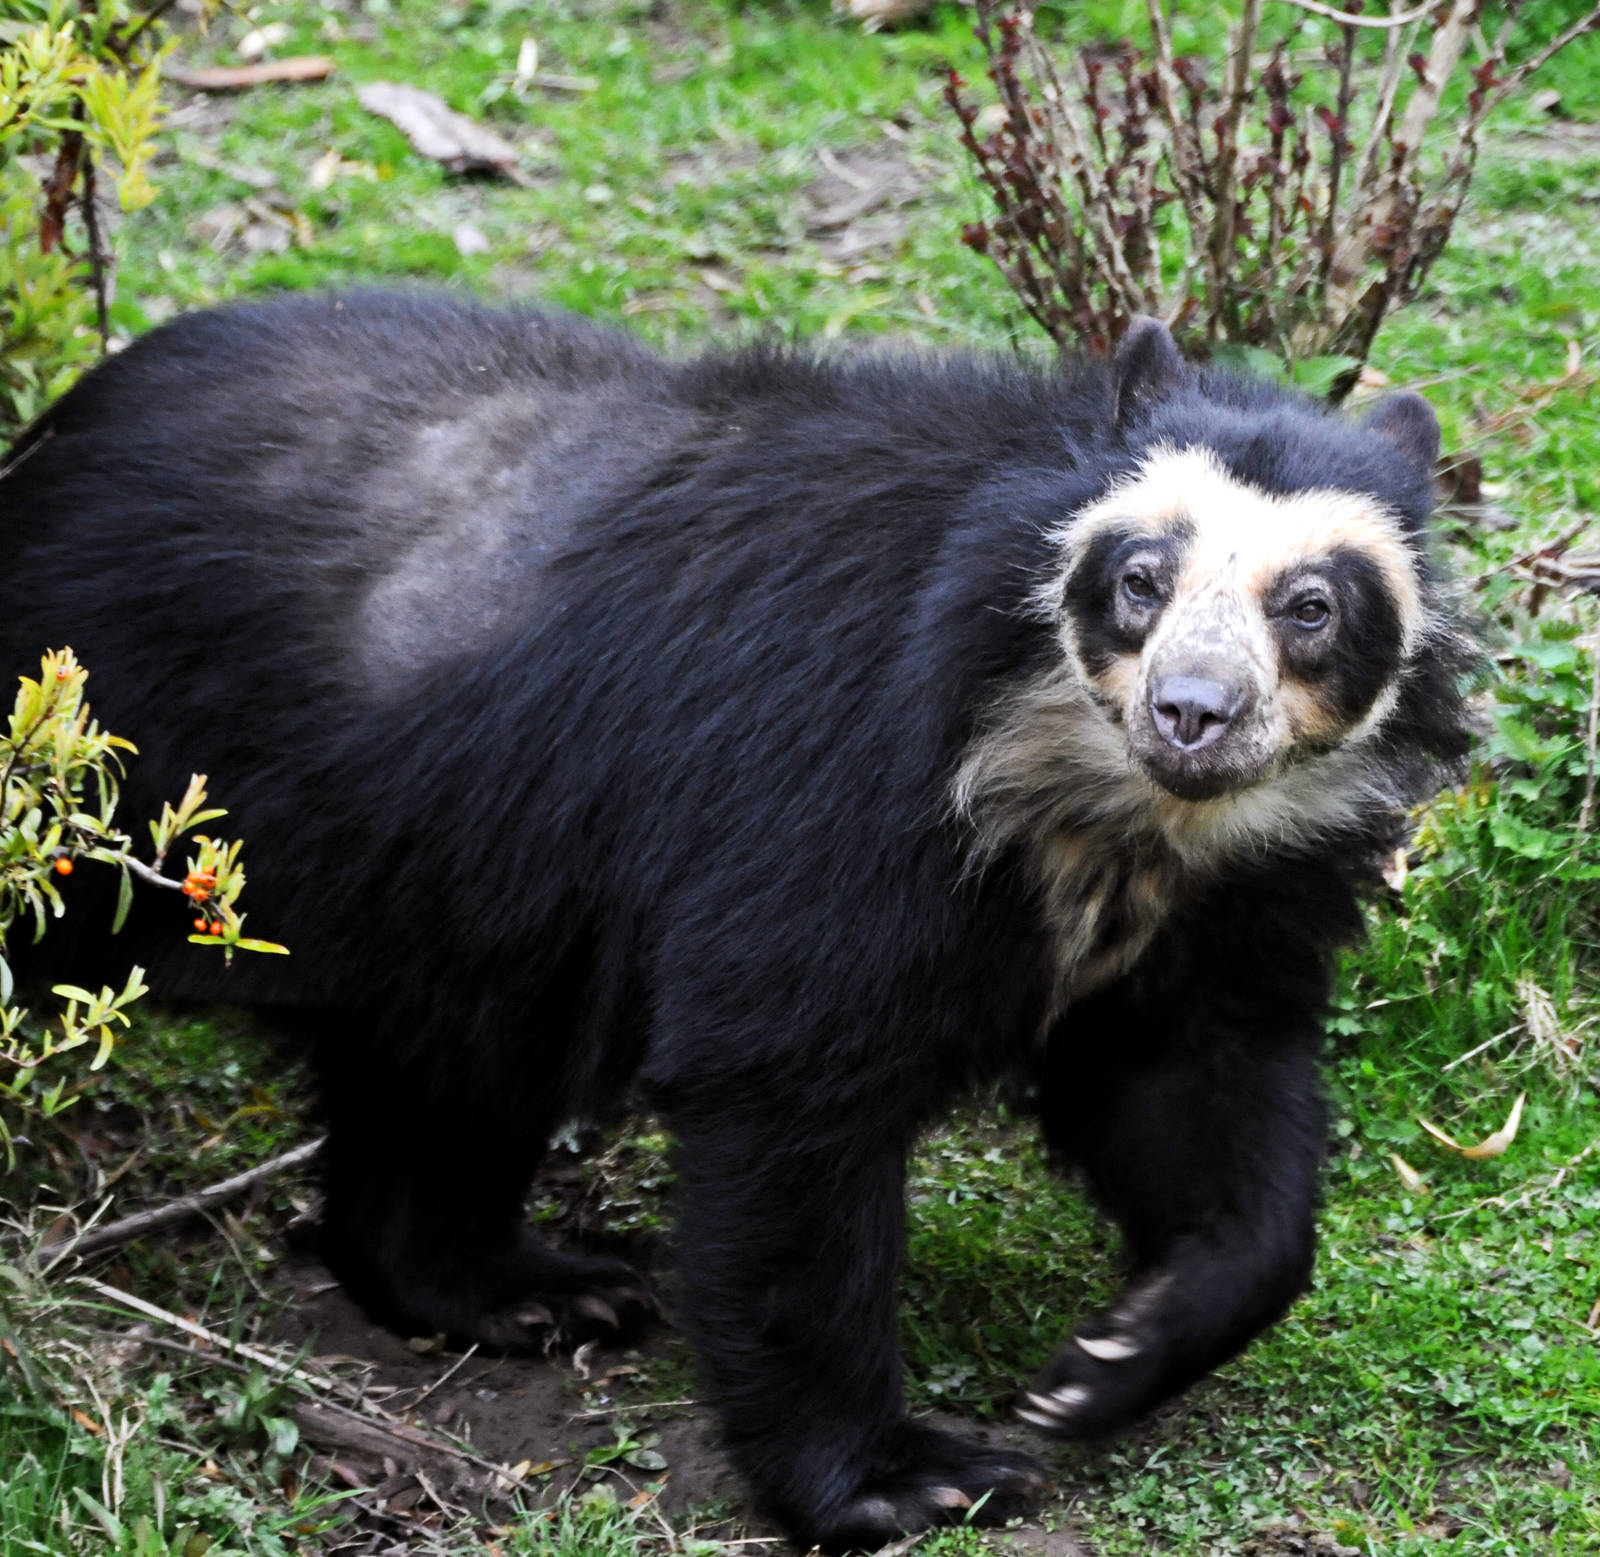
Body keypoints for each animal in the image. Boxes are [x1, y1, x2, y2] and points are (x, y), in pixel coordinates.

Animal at [0, 294, 1472, 1551]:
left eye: (1312, 606)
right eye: (1141, 579)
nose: (1193, 714)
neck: (1092, 807)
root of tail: (55, 440)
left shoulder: (1225, 910)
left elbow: (1210, 1100)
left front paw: (1107, 1359)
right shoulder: (829, 789)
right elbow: (786, 1099)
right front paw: (904, 1479)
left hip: (451, 871)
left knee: (444, 1074)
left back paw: (523, 1288)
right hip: (113, 771)